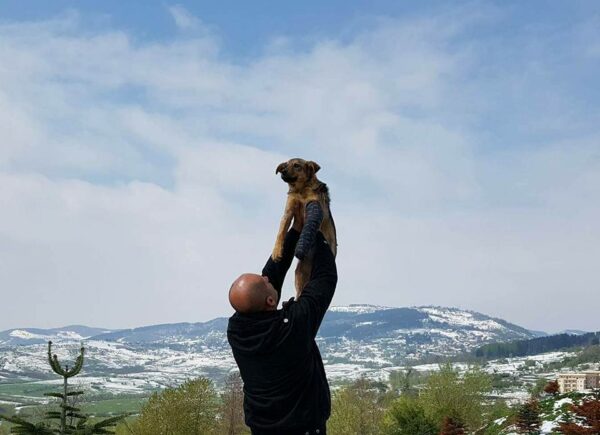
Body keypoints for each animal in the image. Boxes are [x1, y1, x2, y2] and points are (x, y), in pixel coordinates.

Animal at [274, 158, 338, 298]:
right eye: (285, 165)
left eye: (297, 166)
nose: (283, 171)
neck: (300, 191)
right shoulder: (288, 212)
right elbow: (280, 232)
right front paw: (276, 252)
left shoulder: (316, 206)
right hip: (300, 273)